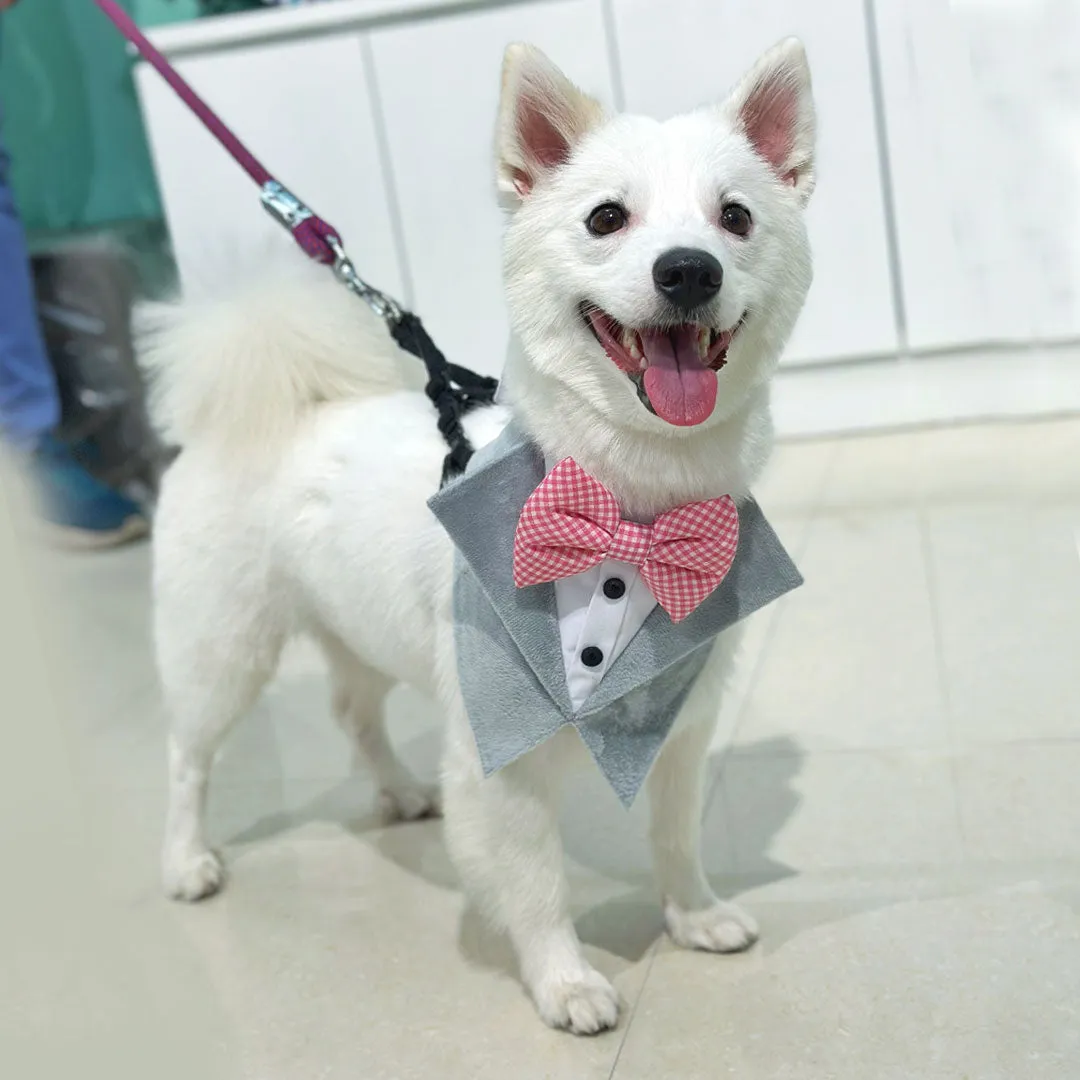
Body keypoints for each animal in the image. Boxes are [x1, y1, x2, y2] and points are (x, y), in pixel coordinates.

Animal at [147, 39, 812, 1036]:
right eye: (606, 217)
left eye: (735, 217)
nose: (689, 270)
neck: (630, 507)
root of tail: (277, 402)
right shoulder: (500, 762)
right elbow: (534, 886)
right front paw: (565, 982)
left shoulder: (682, 726)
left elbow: (675, 835)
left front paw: (693, 915)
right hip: (223, 647)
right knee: (188, 757)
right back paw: (186, 859)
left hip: (357, 624)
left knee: (352, 711)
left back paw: (396, 790)